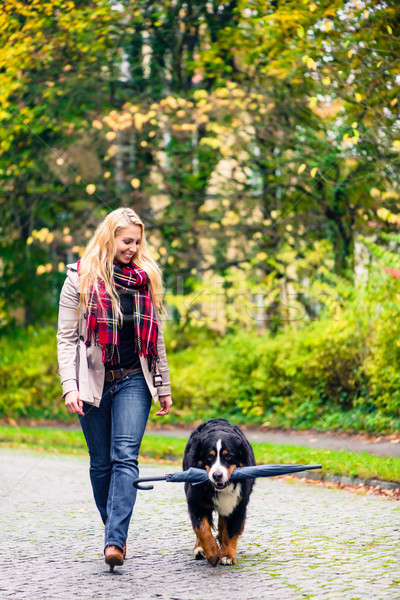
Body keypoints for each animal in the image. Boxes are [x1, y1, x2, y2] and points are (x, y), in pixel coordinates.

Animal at [182, 420, 255, 564]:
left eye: (228, 456)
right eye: (210, 456)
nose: (217, 475)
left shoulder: (238, 505)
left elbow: (231, 531)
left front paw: (227, 555)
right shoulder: (195, 502)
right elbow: (202, 529)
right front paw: (213, 553)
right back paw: (200, 549)